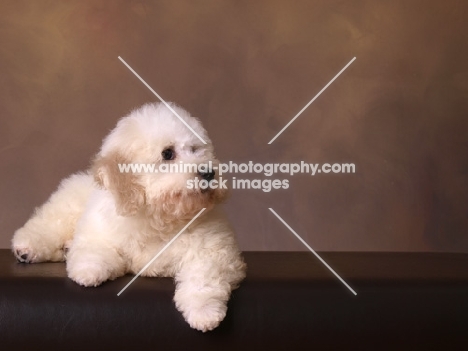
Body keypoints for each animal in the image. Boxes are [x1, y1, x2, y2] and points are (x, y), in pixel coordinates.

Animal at [11, 102, 245, 332]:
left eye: (196, 150)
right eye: (168, 153)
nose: (209, 172)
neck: (159, 217)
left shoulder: (213, 251)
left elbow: (204, 278)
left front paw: (204, 312)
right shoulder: (98, 231)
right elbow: (94, 250)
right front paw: (88, 271)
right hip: (65, 210)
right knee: (45, 225)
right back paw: (26, 248)